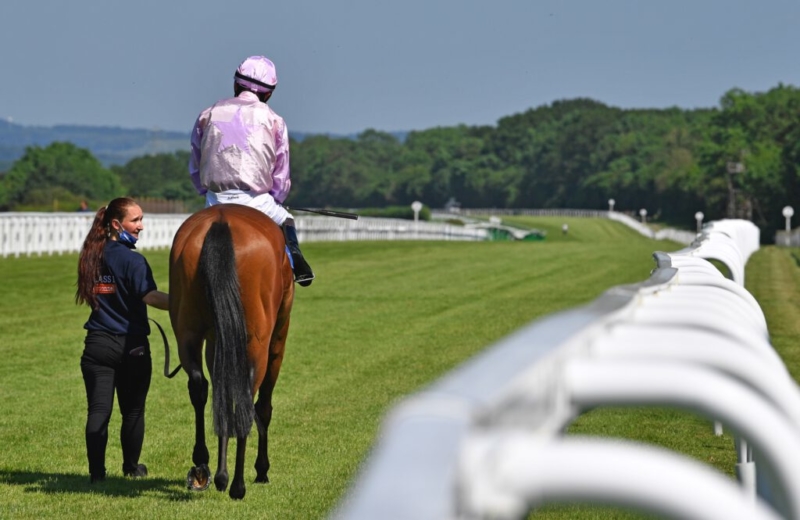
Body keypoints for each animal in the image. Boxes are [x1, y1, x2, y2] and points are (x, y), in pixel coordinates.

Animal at [169, 203, 294, 500]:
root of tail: (221, 221)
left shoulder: (217, 340)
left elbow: (221, 393)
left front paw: (220, 474)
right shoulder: (277, 339)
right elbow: (263, 406)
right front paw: (261, 469)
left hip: (187, 330)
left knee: (200, 385)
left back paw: (204, 466)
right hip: (258, 341)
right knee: (248, 398)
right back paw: (238, 484)